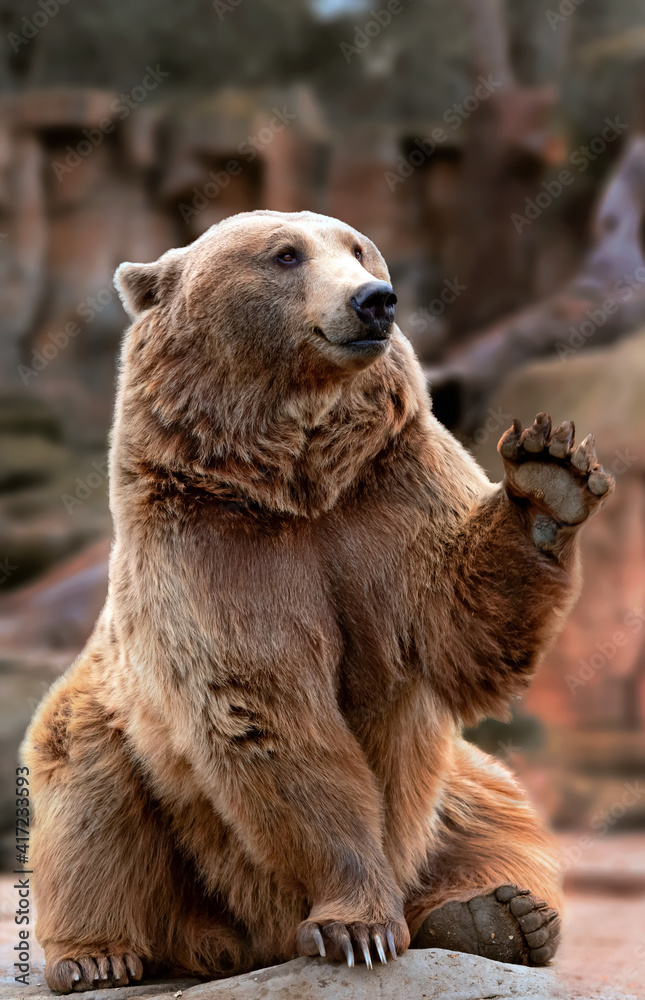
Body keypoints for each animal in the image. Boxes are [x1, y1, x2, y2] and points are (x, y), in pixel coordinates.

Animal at [23, 210, 614, 993]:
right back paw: (97, 956)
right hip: (118, 731)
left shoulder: (388, 493)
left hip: (450, 795)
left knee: (496, 813)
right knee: (92, 800)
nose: (375, 300)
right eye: (284, 254)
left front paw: (550, 475)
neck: (294, 480)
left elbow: (460, 627)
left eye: (359, 247)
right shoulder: (214, 547)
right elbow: (270, 712)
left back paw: (502, 914)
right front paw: (356, 925)